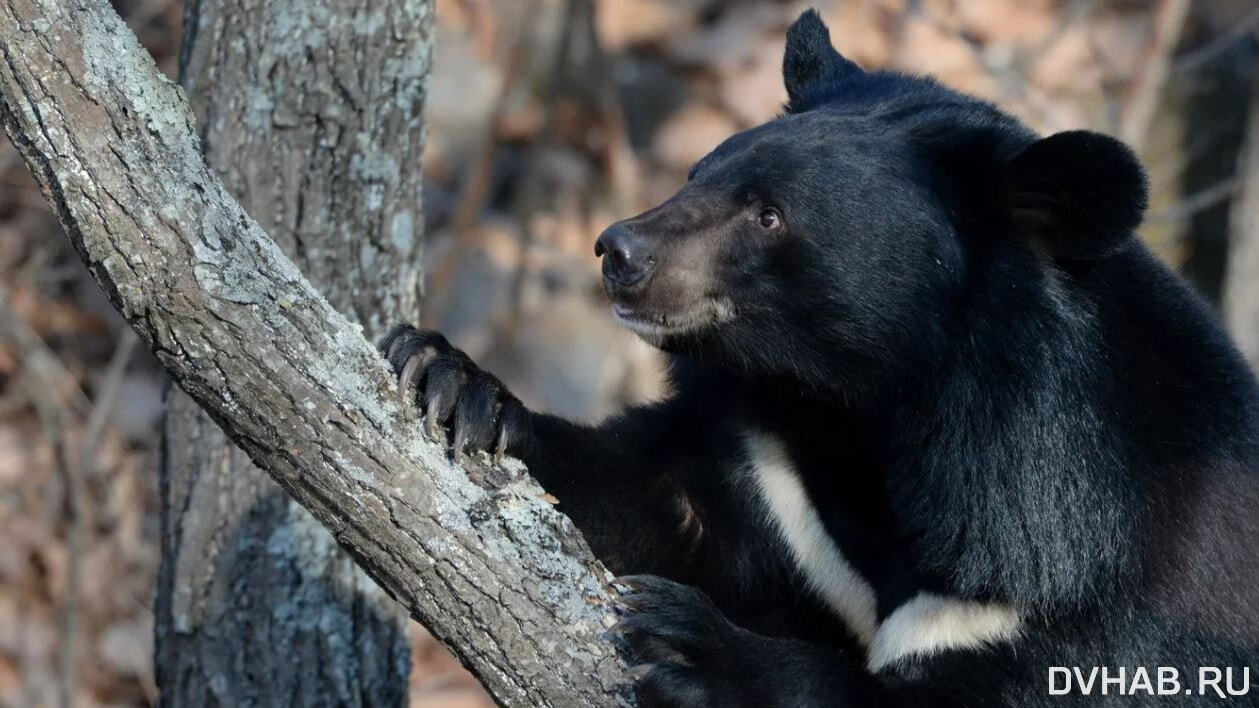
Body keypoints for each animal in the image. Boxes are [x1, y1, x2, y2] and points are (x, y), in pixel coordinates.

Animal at [380, 9, 1259, 705]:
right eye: (699, 171)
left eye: (769, 214)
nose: (617, 251)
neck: (867, 407)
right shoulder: (776, 476)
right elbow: (651, 499)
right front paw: (452, 381)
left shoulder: (1094, 590)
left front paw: (695, 647)